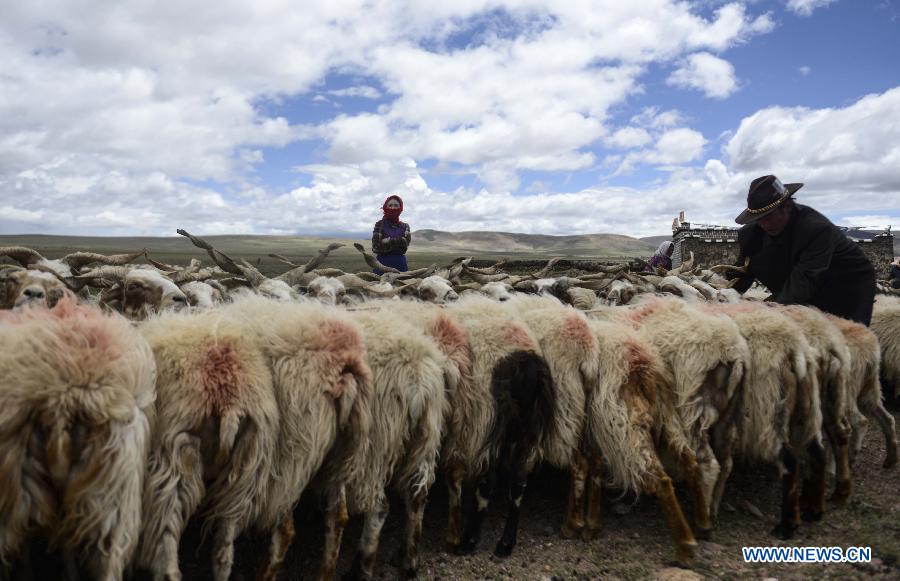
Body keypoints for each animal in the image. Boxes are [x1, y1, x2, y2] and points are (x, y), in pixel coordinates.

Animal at [828, 314, 896, 468]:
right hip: (870, 387)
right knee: (888, 419)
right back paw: (891, 458)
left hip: (845, 390)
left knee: (860, 422)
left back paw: (850, 456)